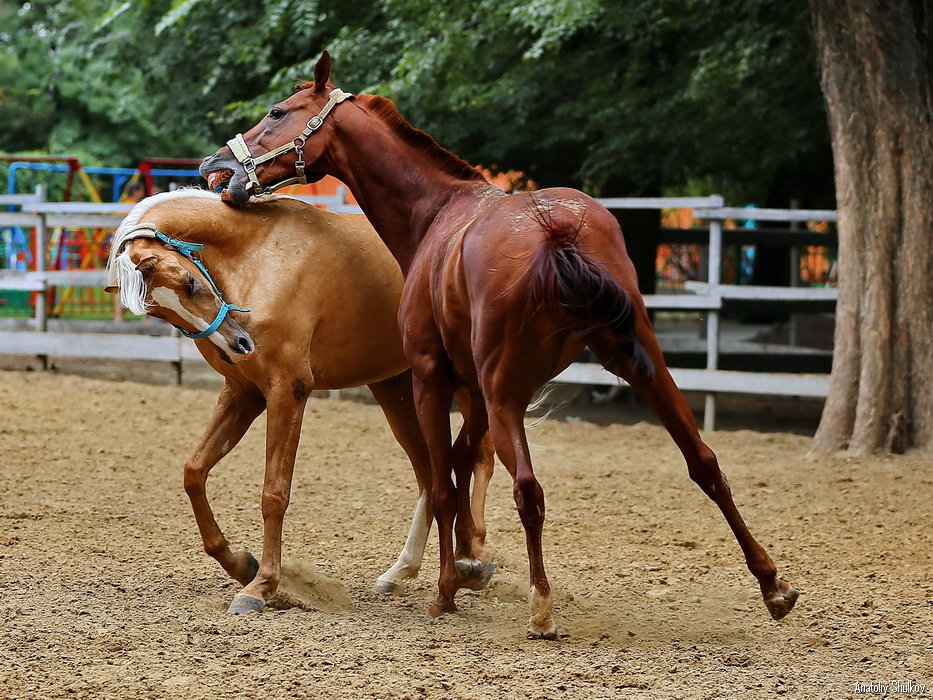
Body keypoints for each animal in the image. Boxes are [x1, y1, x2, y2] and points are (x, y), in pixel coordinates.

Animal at [104, 190, 496, 612]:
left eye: (191, 281)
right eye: (161, 313)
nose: (239, 345)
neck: (257, 255)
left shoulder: (288, 392)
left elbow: (274, 493)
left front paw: (261, 585)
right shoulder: (243, 394)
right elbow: (194, 472)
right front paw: (240, 563)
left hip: (464, 387)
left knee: (478, 457)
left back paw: (472, 558)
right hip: (397, 390)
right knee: (430, 474)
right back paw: (404, 571)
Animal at [200, 52, 796, 636]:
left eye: (278, 111)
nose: (214, 167)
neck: (438, 212)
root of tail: (555, 231)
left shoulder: (432, 377)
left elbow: (444, 479)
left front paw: (448, 585)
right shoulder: (481, 391)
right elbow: (463, 462)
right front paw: (467, 565)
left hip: (504, 389)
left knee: (527, 488)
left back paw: (539, 606)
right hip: (637, 364)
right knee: (704, 462)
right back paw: (773, 586)